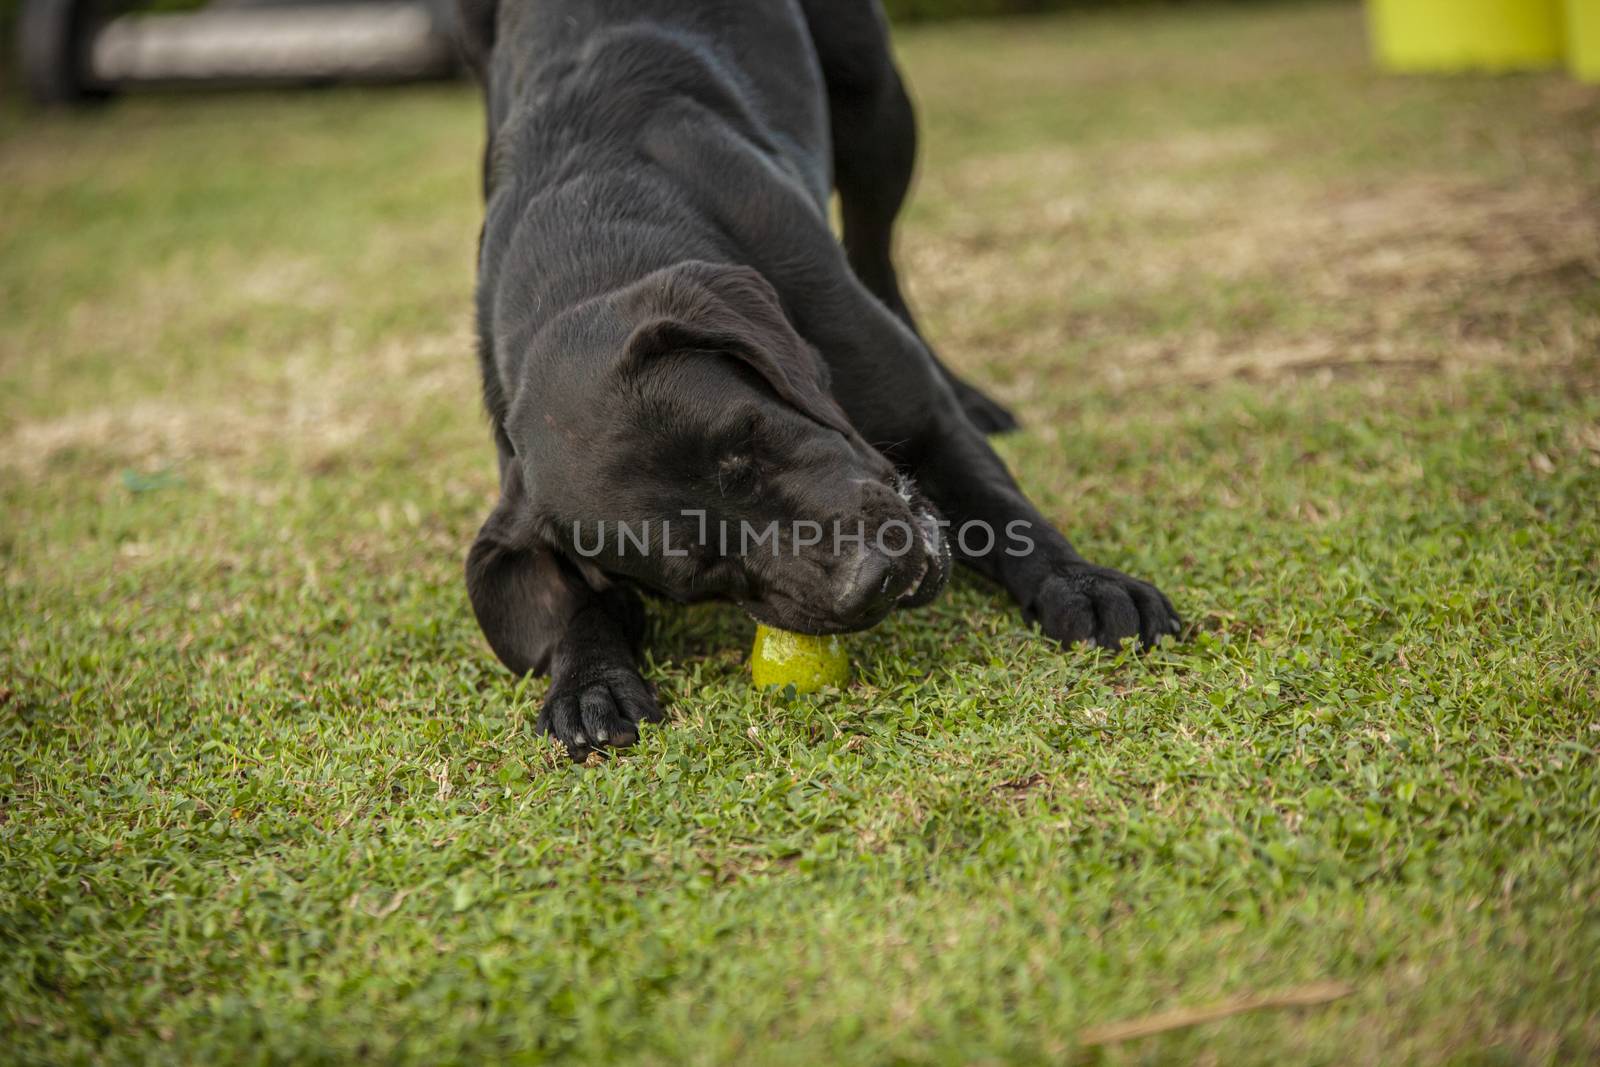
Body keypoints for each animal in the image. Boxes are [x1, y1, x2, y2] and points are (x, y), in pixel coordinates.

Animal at [457, 4, 1184, 764]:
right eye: (700, 571)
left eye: (753, 435)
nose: (872, 575)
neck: (582, 246)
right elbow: (568, 604)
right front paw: (589, 681)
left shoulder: (921, 421)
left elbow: (1004, 513)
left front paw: (1082, 584)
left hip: (875, 106)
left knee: (877, 252)